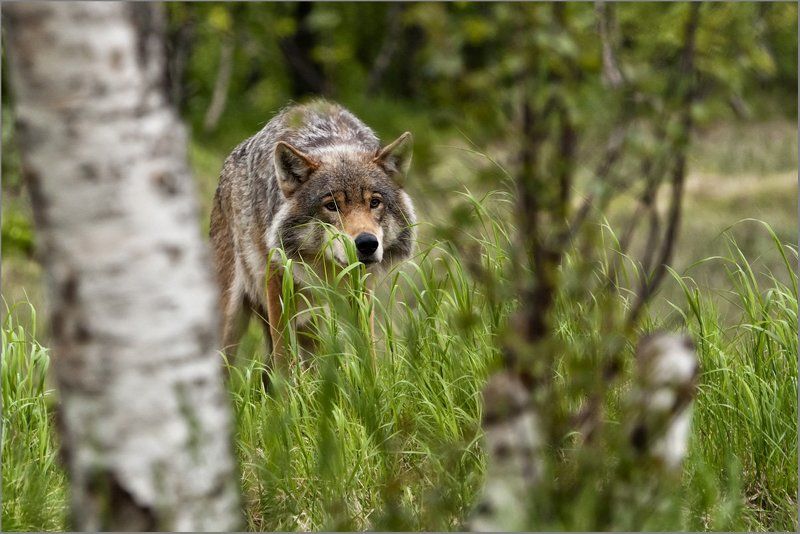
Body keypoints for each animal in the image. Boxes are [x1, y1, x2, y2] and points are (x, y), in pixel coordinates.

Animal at [209, 100, 416, 373]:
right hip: (231, 323)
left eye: (374, 203)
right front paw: (286, 387)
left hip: (311, 322)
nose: (367, 244)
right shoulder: (278, 283)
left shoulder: (361, 290)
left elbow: (367, 353)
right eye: (332, 206)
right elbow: (284, 358)